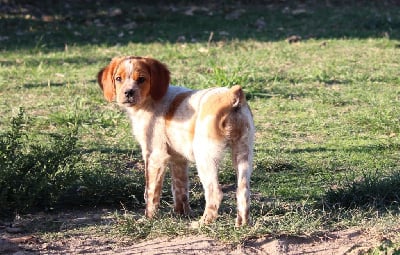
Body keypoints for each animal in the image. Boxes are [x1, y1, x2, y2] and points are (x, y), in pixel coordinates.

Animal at [96, 56, 253, 226]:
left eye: (142, 79)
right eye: (118, 78)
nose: (128, 92)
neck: (150, 101)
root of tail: (231, 96)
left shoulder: (154, 155)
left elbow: (150, 192)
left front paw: (148, 219)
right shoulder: (178, 159)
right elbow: (179, 188)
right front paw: (181, 214)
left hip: (205, 157)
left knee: (215, 193)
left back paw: (201, 223)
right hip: (243, 154)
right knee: (243, 191)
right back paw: (241, 224)